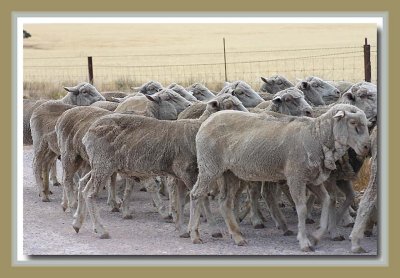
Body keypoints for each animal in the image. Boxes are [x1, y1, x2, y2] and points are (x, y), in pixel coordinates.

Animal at [71, 93, 247, 239]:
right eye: (231, 105)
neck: (197, 128)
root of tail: (89, 132)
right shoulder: (188, 171)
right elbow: (201, 199)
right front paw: (212, 230)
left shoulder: (180, 175)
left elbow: (179, 200)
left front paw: (181, 228)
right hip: (102, 164)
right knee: (89, 193)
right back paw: (101, 230)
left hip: (101, 165)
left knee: (82, 185)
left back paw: (78, 223)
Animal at [189, 103, 370, 251]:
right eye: (353, 123)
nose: (367, 147)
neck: (316, 136)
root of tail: (206, 121)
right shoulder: (296, 177)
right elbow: (302, 209)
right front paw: (304, 241)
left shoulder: (312, 179)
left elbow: (327, 201)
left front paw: (316, 236)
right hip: (209, 165)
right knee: (196, 195)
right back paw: (195, 234)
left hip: (230, 172)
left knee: (225, 202)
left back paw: (238, 236)